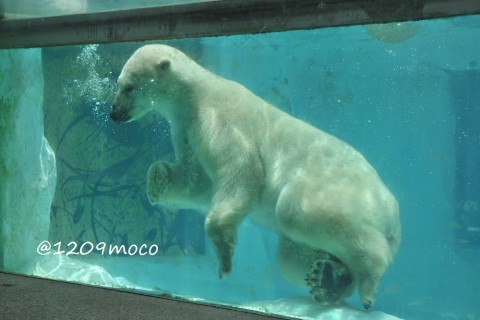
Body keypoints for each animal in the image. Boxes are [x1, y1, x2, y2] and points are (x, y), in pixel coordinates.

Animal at [109, 43, 402, 308]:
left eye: (129, 86)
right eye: (119, 83)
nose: (113, 114)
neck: (197, 92)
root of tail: (392, 213)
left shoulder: (221, 119)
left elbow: (242, 173)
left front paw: (224, 259)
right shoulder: (185, 128)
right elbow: (198, 182)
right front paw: (157, 180)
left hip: (334, 188)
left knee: (298, 212)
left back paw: (365, 282)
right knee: (289, 254)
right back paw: (328, 278)